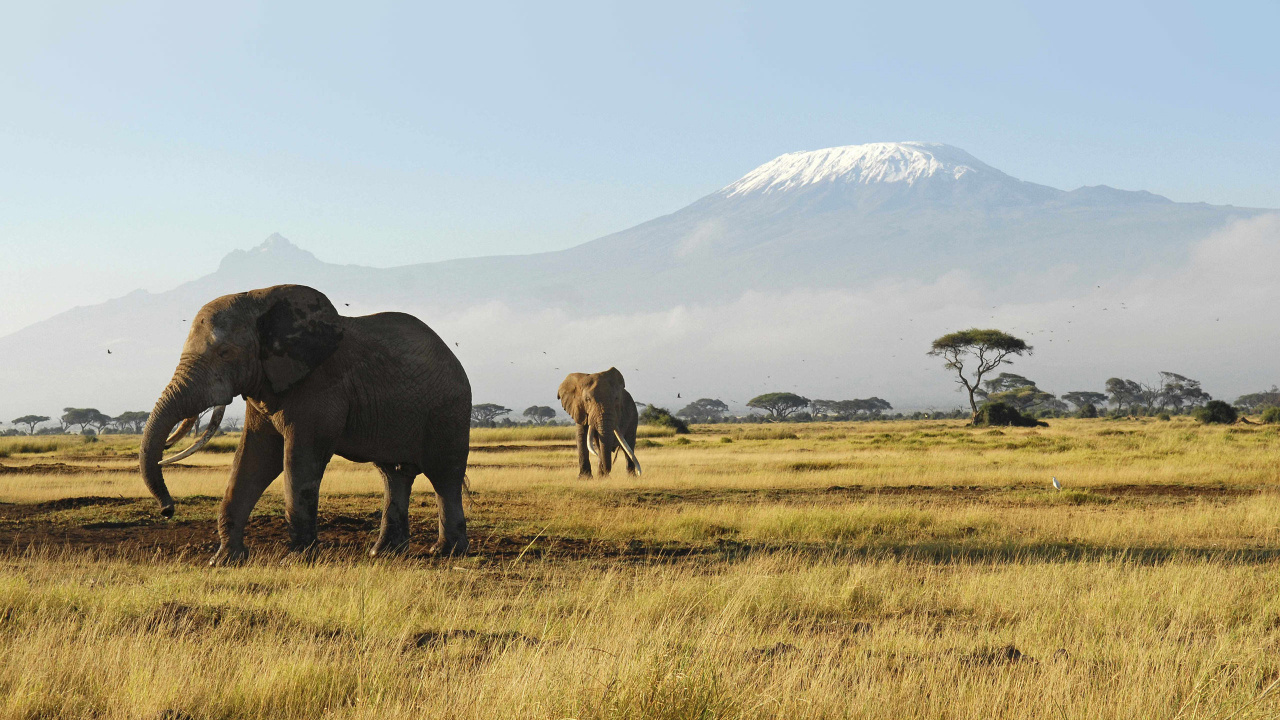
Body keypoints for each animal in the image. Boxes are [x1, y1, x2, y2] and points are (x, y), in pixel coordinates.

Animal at [139, 284, 472, 564]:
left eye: (225, 353)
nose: (168, 510)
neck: (259, 300)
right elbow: (254, 459)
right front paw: (224, 561)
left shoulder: (319, 386)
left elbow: (299, 460)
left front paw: (297, 559)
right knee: (394, 474)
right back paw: (383, 553)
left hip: (449, 410)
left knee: (445, 476)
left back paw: (446, 552)